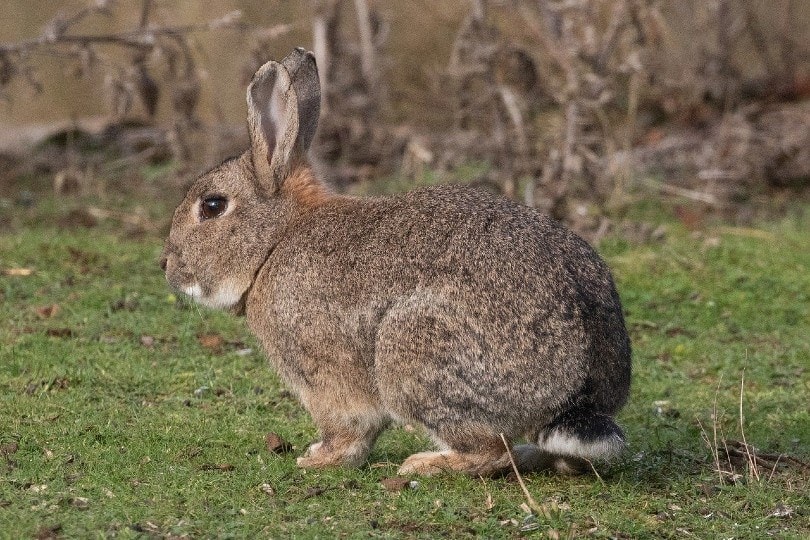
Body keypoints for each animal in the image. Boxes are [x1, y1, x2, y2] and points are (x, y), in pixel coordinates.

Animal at [163, 47, 632, 476]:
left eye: (212, 205)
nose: (167, 267)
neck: (275, 242)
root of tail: (579, 392)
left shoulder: (324, 376)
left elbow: (348, 430)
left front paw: (318, 460)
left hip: (412, 354)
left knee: (490, 451)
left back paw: (424, 465)